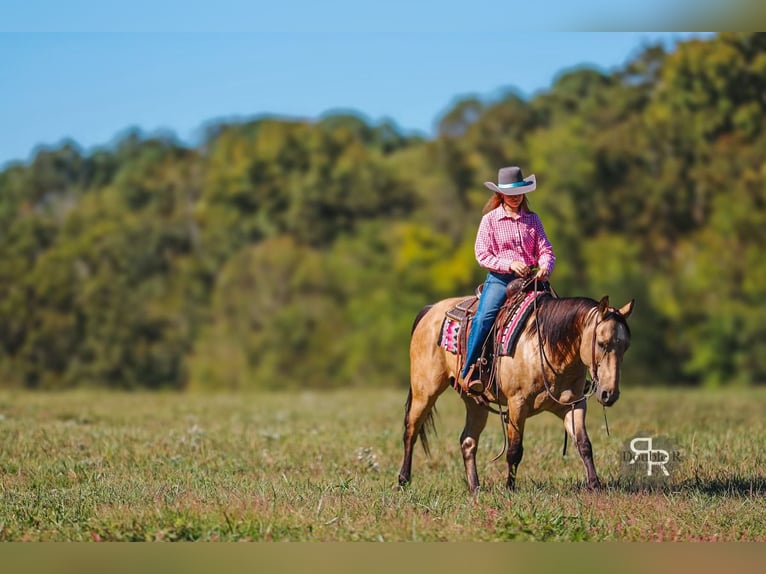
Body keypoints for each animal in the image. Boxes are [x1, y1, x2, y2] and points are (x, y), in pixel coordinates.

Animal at [397, 292, 634, 493]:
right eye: (601, 343)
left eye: (625, 347)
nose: (609, 394)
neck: (545, 348)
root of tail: (430, 310)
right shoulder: (517, 405)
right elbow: (514, 450)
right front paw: (510, 488)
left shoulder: (574, 405)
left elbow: (584, 444)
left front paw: (595, 485)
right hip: (425, 390)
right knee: (411, 430)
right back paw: (403, 480)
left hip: (474, 401)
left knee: (468, 441)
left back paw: (475, 488)